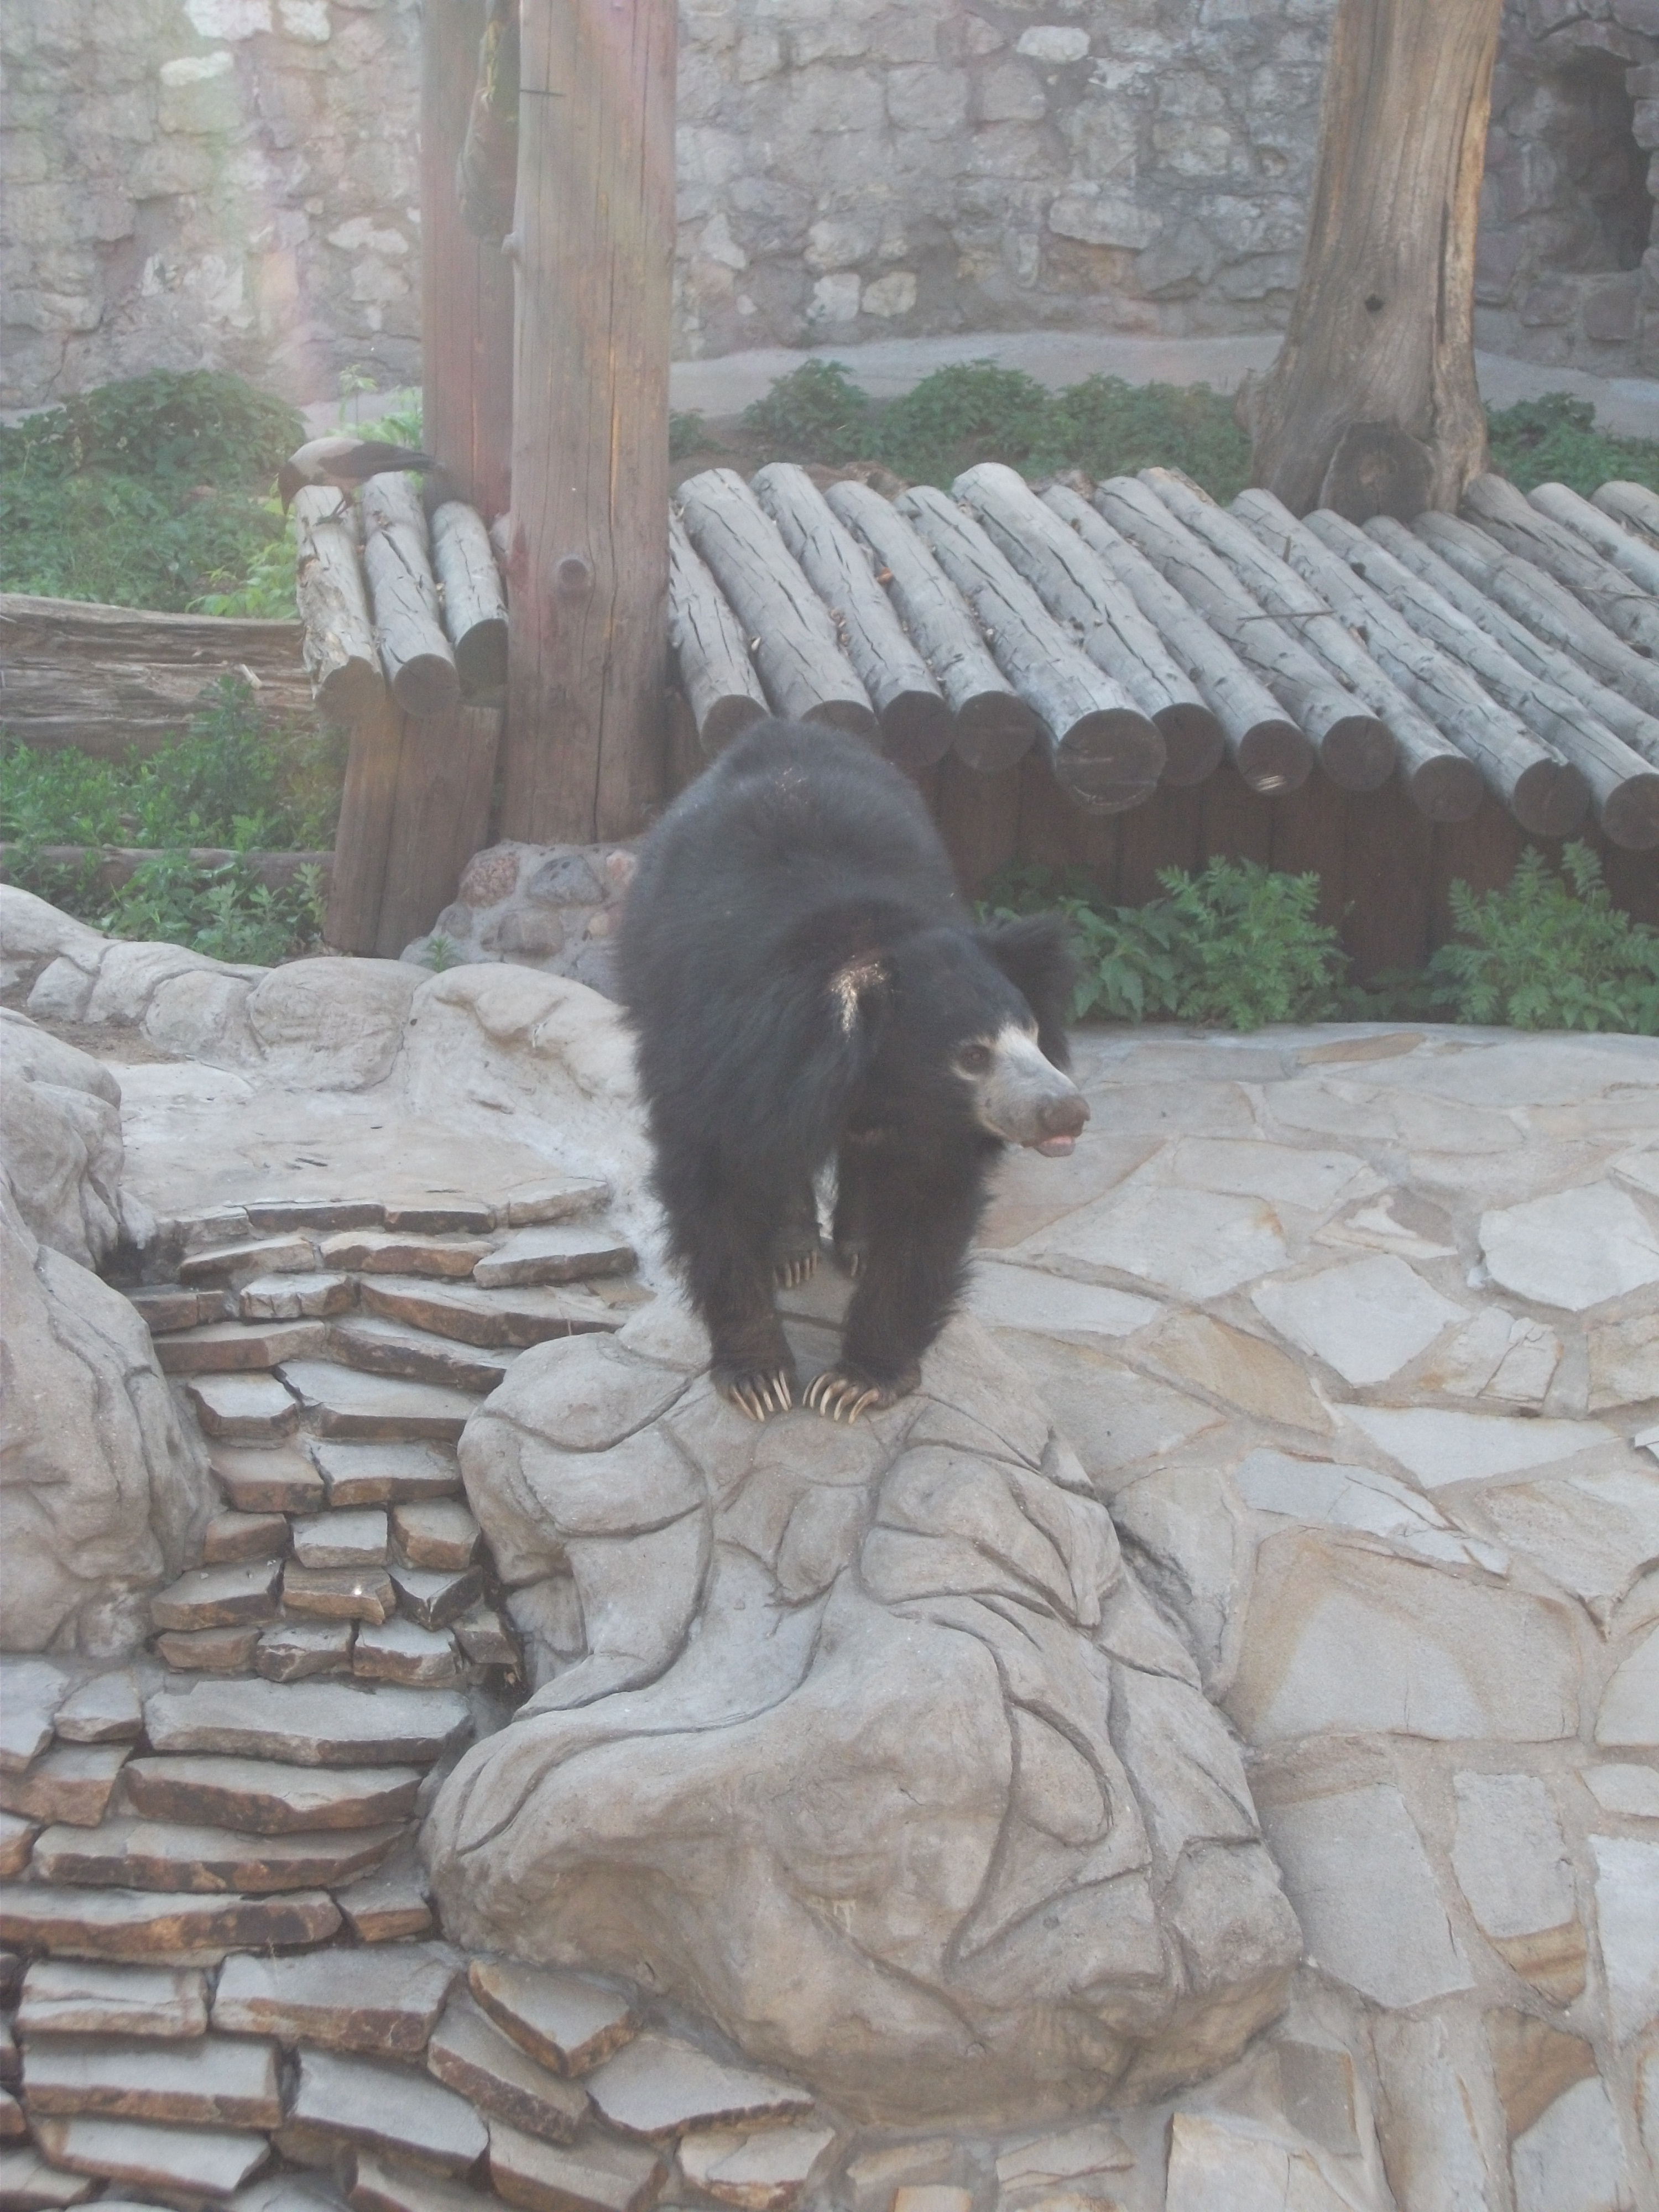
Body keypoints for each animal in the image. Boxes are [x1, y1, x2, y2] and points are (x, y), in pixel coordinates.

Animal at [616, 719, 1089, 1421]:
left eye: (1031, 1033)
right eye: (972, 1055)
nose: (1067, 1111)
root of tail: (778, 730)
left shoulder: (937, 1126)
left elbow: (927, 1210)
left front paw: (855, 1382)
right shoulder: (718, 1054)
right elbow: (715, 1184)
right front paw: (760, 1379)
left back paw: (857, 1247)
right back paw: (792, 1254)